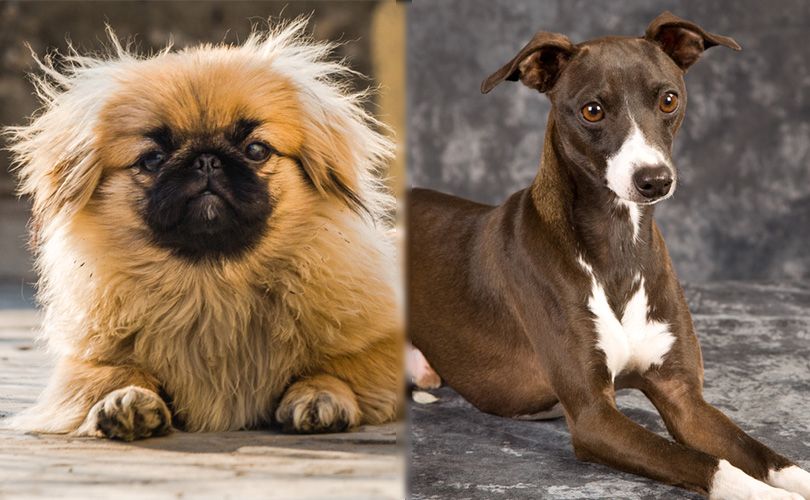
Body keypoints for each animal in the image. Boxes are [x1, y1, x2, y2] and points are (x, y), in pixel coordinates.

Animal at [3, 18, 400, 442]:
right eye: (153, 159)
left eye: (256, 150)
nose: (206, 159)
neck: (212, 284)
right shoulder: (86, 361)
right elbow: (110, 375)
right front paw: (127, 401)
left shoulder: (381, 343)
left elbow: (342, 368)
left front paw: (320, 396)